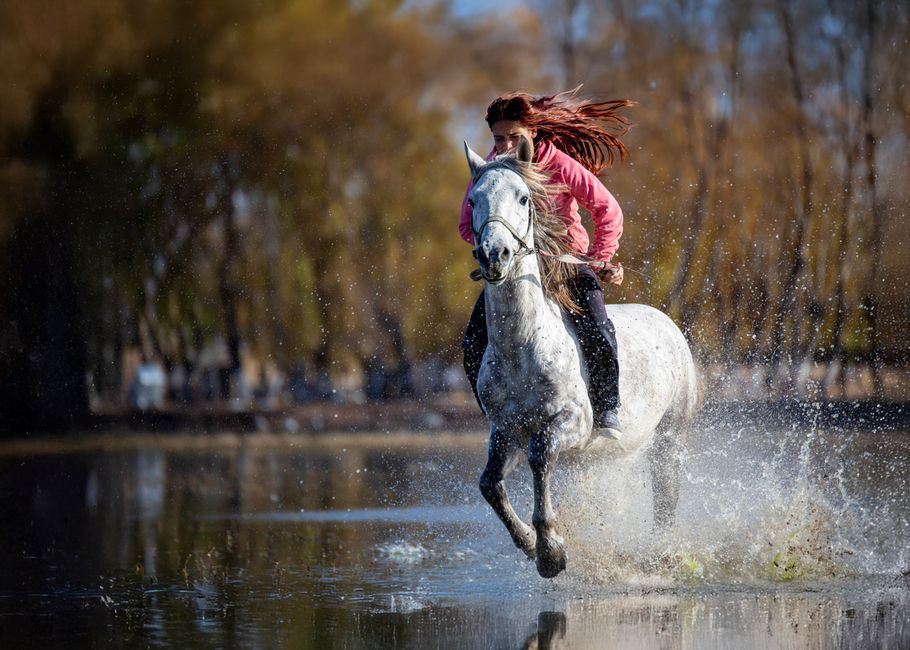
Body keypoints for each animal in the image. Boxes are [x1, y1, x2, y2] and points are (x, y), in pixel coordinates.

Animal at [464, 138, 698, 579]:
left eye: (523, 197)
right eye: (473, 200)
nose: (494, 255)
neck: (523, 347)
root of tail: (668, 325)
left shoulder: (572, 421)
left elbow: (541, 455)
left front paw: (551, 552)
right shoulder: (505, 430)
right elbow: (489, 484)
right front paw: (529, 543)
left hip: (670, 439)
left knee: (666, 499)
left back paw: (660, 555)